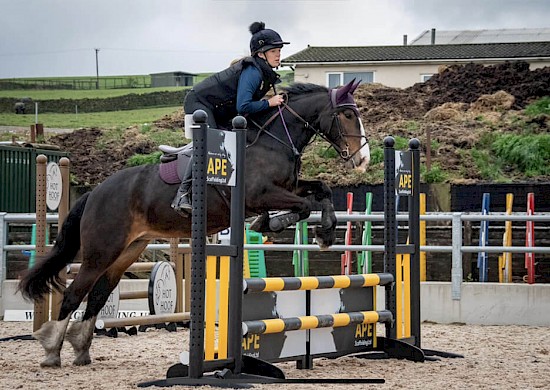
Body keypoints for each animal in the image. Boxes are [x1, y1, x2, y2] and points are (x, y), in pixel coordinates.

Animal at [18, 78, 370, 366]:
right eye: (347, 115)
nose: (363, 158)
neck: (273, 140)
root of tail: (95, 192)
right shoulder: (260, 195)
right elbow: (305, 205)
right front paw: (275, 224)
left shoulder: (287, 188)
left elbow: (321, 191)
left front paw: (323, 233)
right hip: (101, 250)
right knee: (74, 293)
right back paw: (51, 351)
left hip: (128, 250)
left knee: (99, 293)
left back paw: (80, 349)